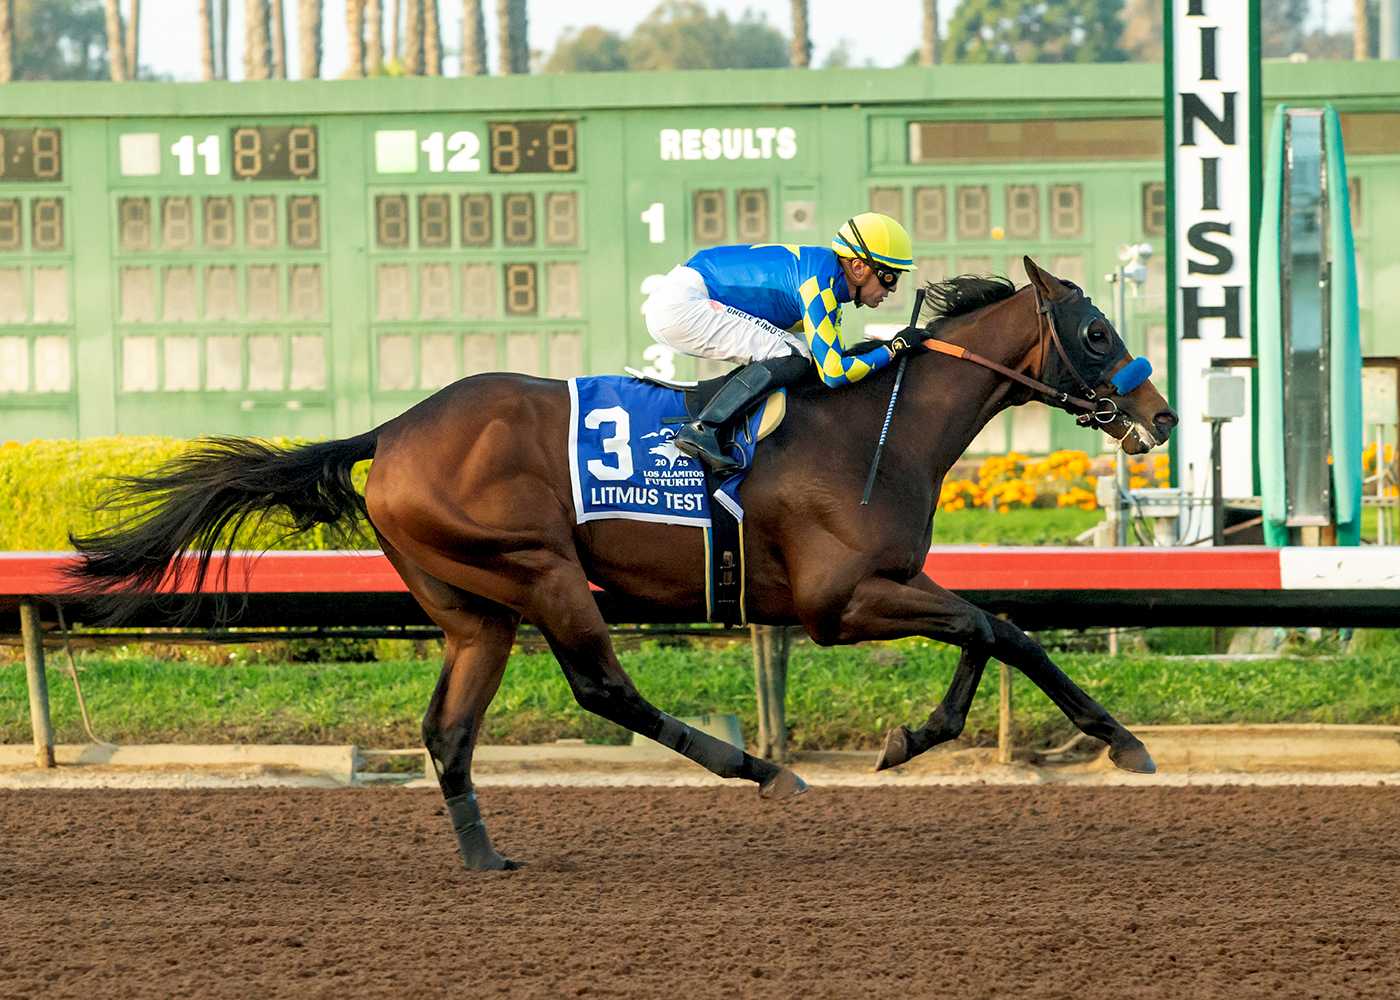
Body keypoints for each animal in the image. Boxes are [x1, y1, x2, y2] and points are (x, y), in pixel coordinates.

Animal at [67, 257, 1177, 871]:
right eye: (1094, 329)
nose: (1159, 416)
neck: (877, 425)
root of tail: (392, 428)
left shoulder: (883, 586)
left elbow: (1003, 628)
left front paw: (1101, 740)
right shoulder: (839, 600)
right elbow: (992, 626)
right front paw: (936, 738)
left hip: (474, 607)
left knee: (448, 729)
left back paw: (486, 858)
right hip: (540, 570)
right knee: (603, 688)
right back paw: (763, 771)